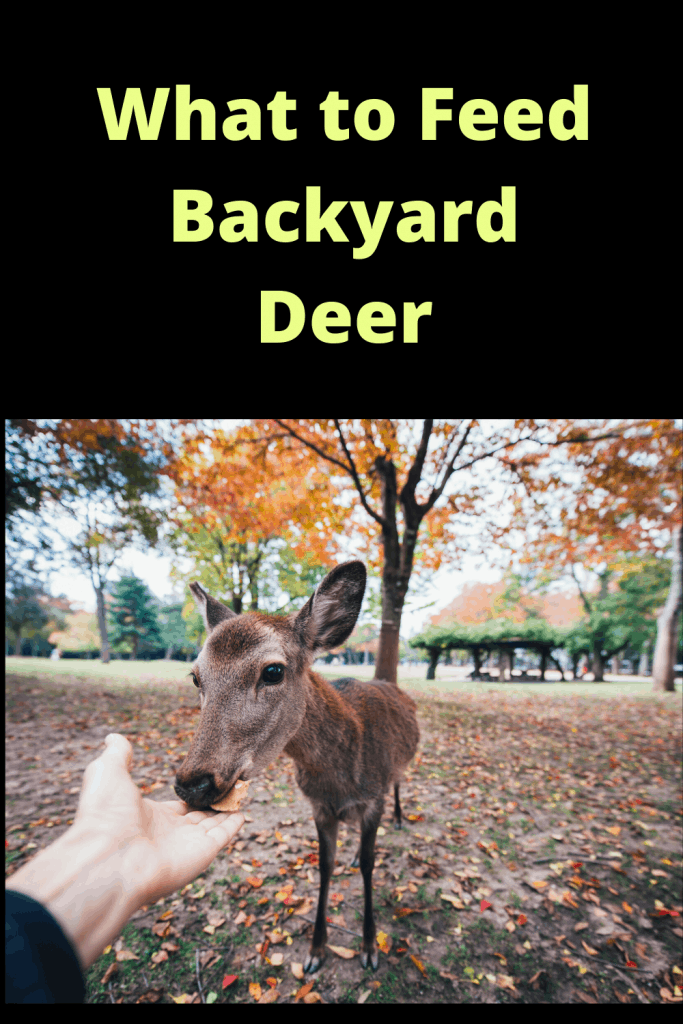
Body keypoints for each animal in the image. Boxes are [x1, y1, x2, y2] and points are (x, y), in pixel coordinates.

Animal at [174, 560, 420, 972]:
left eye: (273, 671)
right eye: (195, 676)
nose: (192, 783)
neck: (340, 774)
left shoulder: (373, 798)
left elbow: (371, 866)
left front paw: (370, 947)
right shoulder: (318, 806)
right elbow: (325, 865)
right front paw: (315, 950)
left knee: (400, 784)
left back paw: (400, 819)